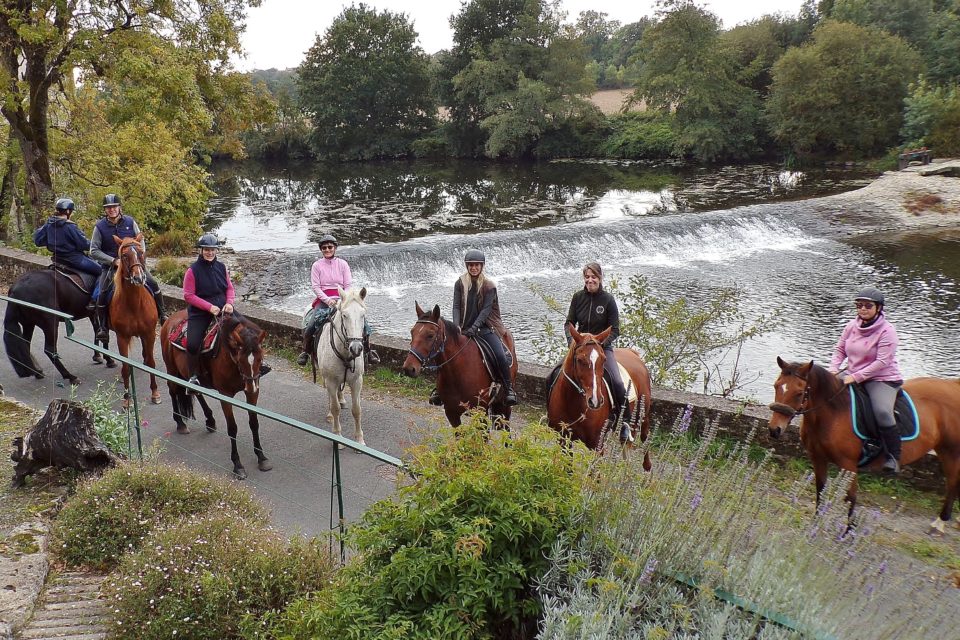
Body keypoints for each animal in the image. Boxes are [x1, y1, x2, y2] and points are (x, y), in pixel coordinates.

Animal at [108, 234, 159, 404]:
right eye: (124, 256)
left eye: (141, 252)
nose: (138, 277)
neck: (135, 304)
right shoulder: (122, 337)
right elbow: (125, 368)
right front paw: (126, 399)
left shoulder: (149, 334)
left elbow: (151, 363)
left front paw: (155, 393)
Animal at [158, 310, 270, 480]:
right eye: (241, 358)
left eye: (260, 358)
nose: (250, 386)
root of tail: (169, 319)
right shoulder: (225, 395)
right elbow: (232, 428)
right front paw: (237, 465)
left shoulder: (253, 392)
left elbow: (254, 423)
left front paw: (261, 457)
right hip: (171, 369)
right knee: (173, 390)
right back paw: (180, 423)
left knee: (196, 391)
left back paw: (210, 420)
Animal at [320, 288, 370, 448]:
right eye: (344, 315)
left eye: (363, 315)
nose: (356, 348)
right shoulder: (330, 380)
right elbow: (335, 409)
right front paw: (338, 437)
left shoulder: (357, 381)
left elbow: (357, 410)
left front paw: (359, 440)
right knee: (331, 397)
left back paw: (342, 400)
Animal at [548, 328, 652, 468]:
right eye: (579, 360)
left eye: (603, 360)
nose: (595, 400)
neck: (573, 404)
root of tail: (633, 354)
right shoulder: (563, 439)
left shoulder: (597, 444)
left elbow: (595, 471)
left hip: (643, 412)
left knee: (645, 435)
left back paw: (647, 466)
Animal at [768, 358, 960, 536]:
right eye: (776, 386)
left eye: (799, 393)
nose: (774, 430)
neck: (833, 413)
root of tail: (954, 385)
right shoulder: (818, 458)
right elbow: (820, 490)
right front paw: (814, 525)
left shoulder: (848, 464)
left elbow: (850, 497)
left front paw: (849, 533)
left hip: (951, 451)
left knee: (952, 483)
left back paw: (940, 523)